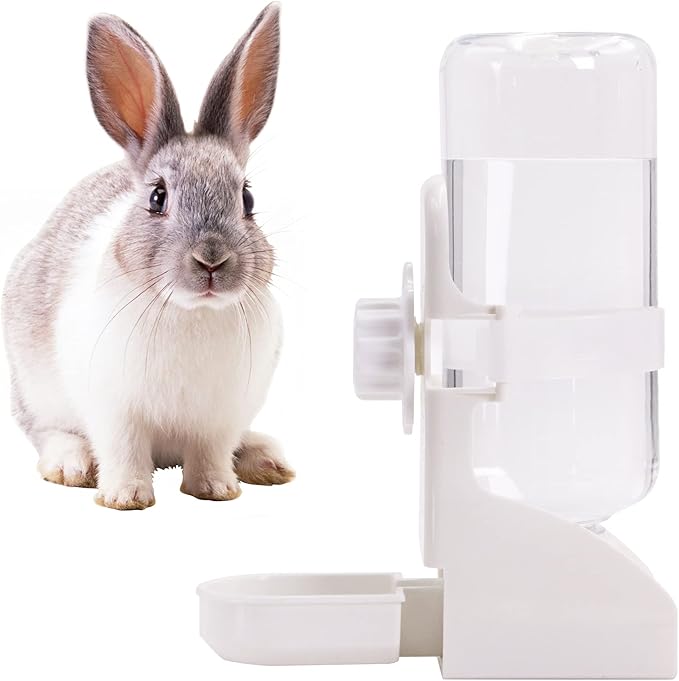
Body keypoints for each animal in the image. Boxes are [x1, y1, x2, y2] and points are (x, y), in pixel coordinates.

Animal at [2, 3, 295, 510]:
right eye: (157, 197)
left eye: (247, 199)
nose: (211, 260)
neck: (193, 312)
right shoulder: (114, 410)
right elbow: (123, 451)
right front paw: (125, 498)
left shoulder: (220, 417)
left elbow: (211, 453)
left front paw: (217, 490)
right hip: (35, 392)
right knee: (46, 432)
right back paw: (71, 464)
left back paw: (266, 460)